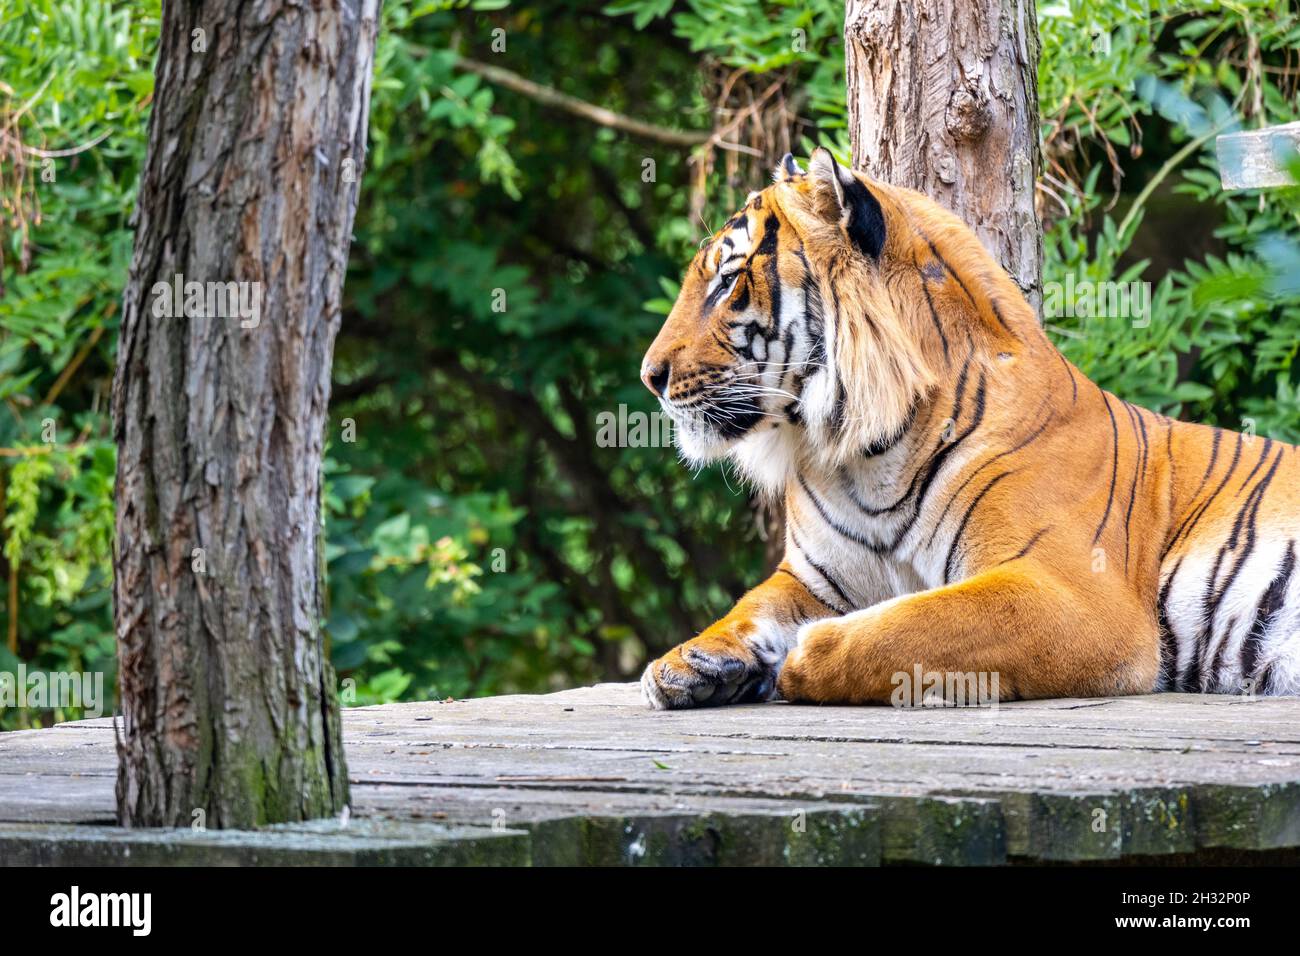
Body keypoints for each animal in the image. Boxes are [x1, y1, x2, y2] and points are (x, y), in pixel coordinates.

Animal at [639, 147, 1300, 712]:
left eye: (728, 281)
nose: (650, 376)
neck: (861, 460)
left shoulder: (1073, 593)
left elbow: (912, 627)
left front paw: (804, 655)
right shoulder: (812, 576)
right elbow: (749, 607)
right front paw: (685, 662)